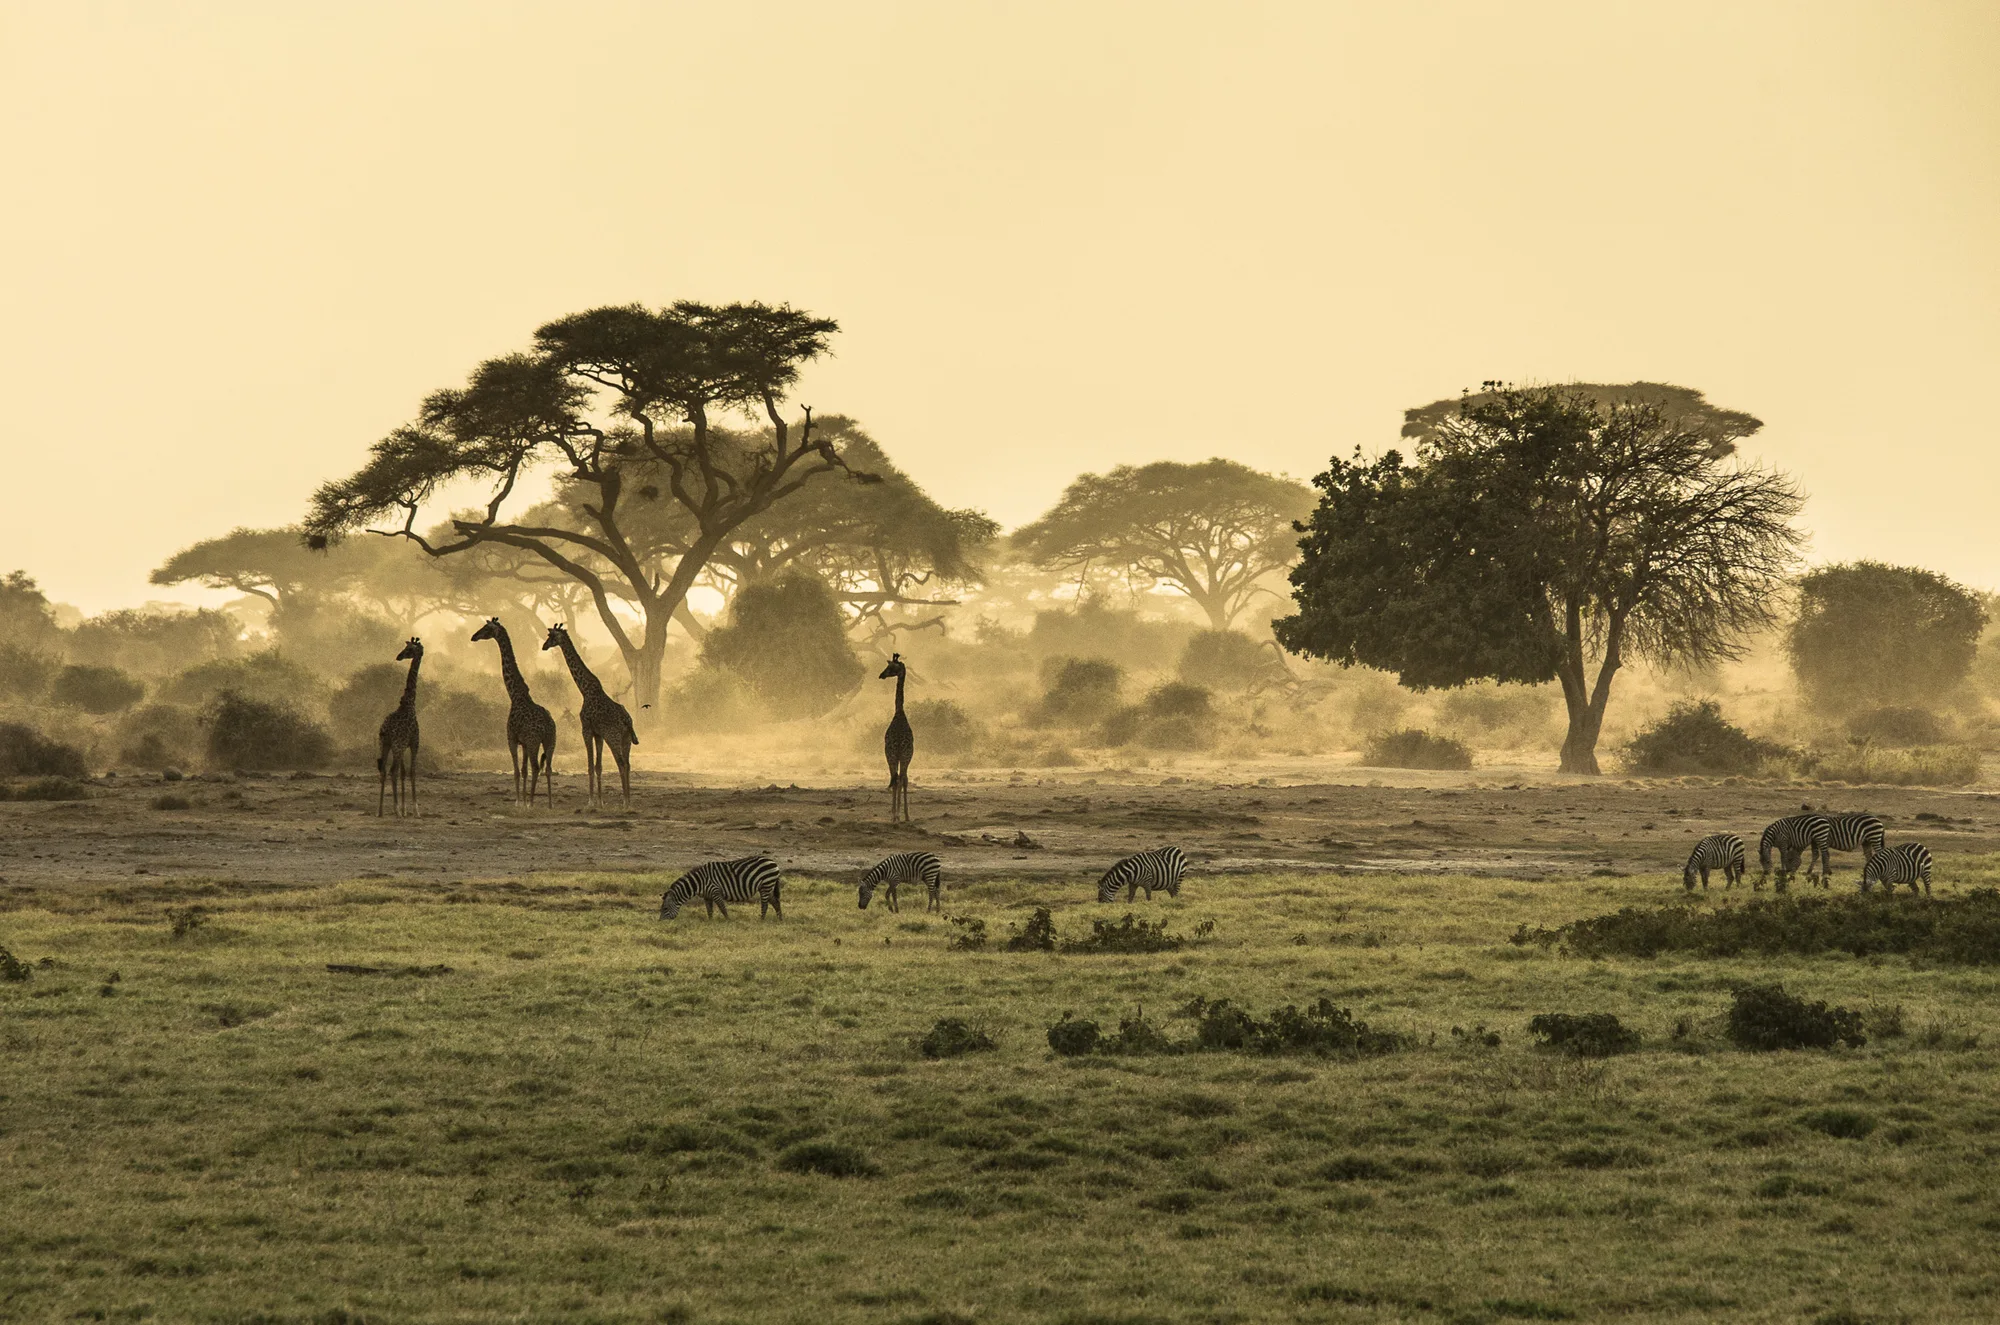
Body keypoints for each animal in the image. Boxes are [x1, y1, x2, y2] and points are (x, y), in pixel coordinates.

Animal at [377, 638, 423, 818]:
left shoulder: (404, 745)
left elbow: (404, 772)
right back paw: (395, 810)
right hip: (396, 745)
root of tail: (386, 729)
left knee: (383, 770)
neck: (409, 704)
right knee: (392, 771)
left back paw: (380, 811)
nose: (399, 656)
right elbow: (412, 771)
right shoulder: (413, 742)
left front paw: (405, 809)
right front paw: (415, 810)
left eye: (409, 649)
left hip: (385, 743)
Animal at [471, 618, 557, 807]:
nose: (474, 636)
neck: (515, 695)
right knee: (547, 768)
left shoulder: (511, 739)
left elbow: (517, 771)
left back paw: (532, 803)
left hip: (534, 742)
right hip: (550, 741)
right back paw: (549, 804)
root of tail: (548, 726)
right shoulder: (523, 742)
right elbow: (523, 771)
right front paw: (523, 801)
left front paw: (519, 802)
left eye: (486, 628)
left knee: (536, 767)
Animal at [542, 624, 637, 807]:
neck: (585, 689)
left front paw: (590, 801)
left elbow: (590, 765)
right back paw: (627, 799)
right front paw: (600, 801)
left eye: (551, 636)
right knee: (628, 764)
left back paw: (625, 802)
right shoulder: (598, 734)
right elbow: (598, 766)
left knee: (621, 763)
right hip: (626, 738)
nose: (544, 646)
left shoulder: (586, 729)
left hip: (613, 736)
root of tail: (627, 721)